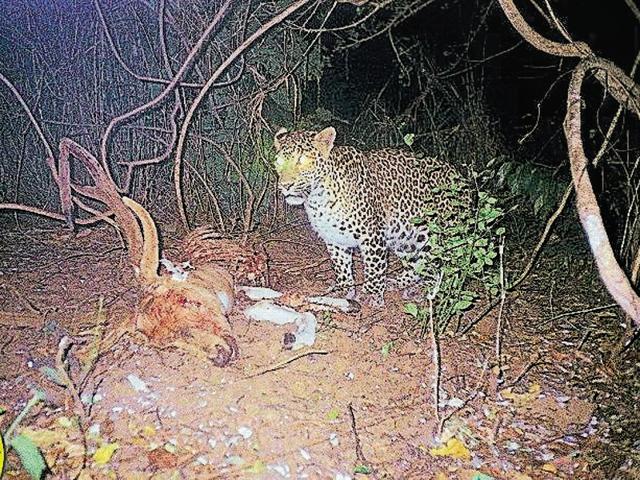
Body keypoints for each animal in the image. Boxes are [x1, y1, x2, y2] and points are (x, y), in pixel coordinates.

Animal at [273, 126, 472, 307]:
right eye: (279, 162)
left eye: (302, 160)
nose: (285, 185)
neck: (318, 198)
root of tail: (461, 179)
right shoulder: (334, 237)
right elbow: (341, 265)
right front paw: (343, 289)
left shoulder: (372, 235)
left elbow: (374, 267)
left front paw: (371, 294)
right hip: (405, 238)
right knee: (418, 264)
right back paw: (401, 284)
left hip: (439, 236)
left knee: (443, 267)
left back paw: (428, 291)